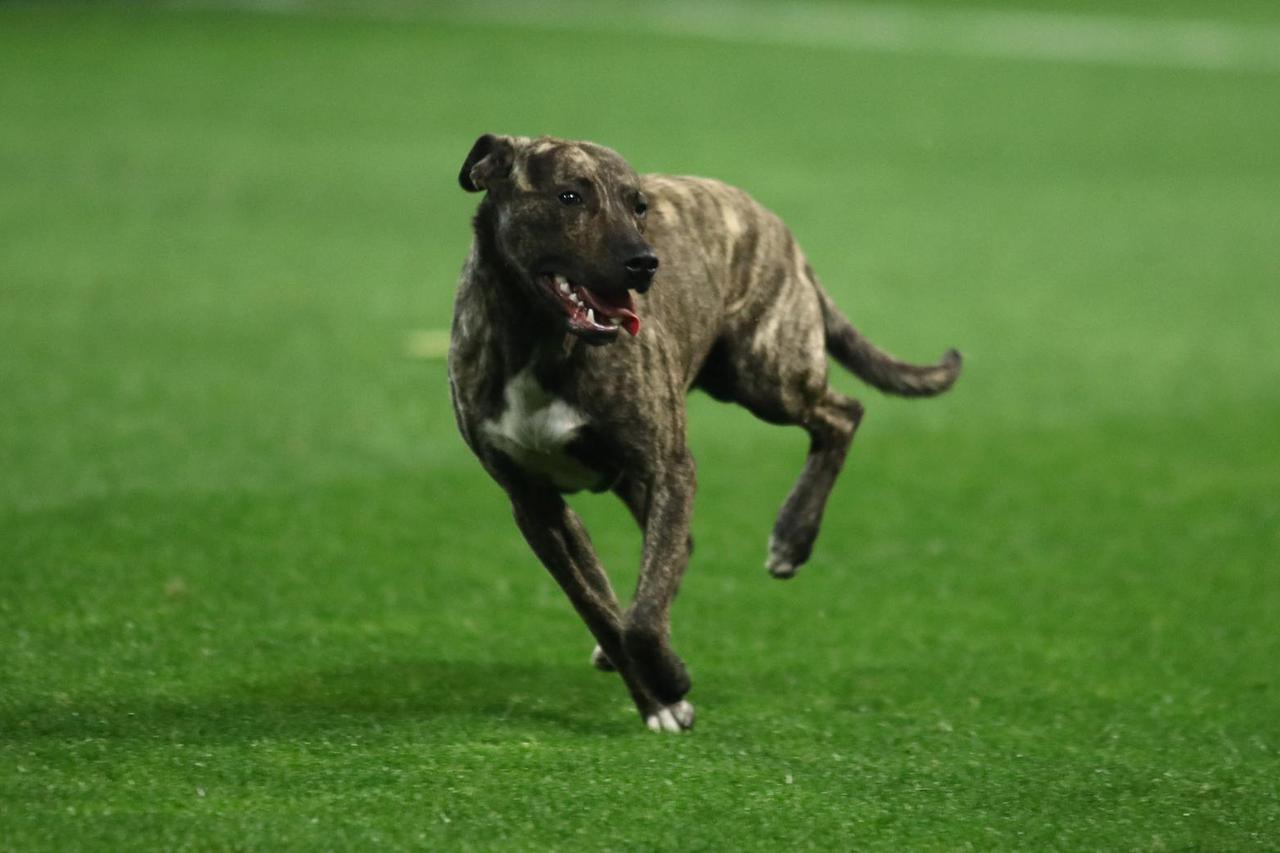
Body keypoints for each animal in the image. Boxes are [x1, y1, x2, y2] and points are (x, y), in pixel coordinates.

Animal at [450, 134, 962, 732]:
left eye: (638, 205)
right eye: (569, 196)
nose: (644, 262)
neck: (538, 341)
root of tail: (770, 220)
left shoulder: (669, 466)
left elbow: (641, 619)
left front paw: (667, 680)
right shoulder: (535, 505)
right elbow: (600, 609)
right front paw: (656, 695)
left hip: (765, 373)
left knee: (842, 414)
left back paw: (792, 536)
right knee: (675, 551)